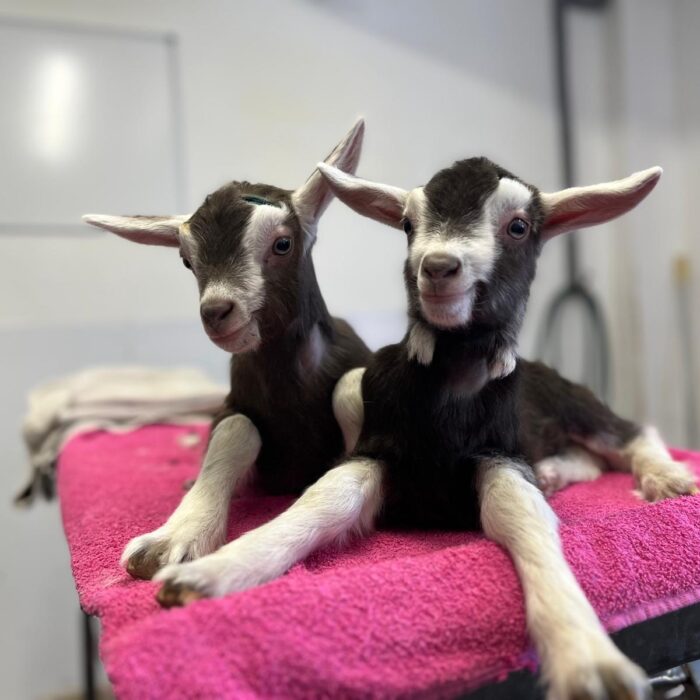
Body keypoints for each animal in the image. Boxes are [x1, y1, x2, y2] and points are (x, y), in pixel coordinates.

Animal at [153, 156, 696, 696]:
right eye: (408, 224)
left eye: (518, 226)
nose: (437, 268)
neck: (447, 396)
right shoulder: (378, 448)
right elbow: (327, 497)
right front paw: (208, 573)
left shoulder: (499, 452)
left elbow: (520, 510)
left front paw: (585, 656)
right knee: (591, 455)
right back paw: (558, 473)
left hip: (577, 406)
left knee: (630, 433)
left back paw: (668, 477)